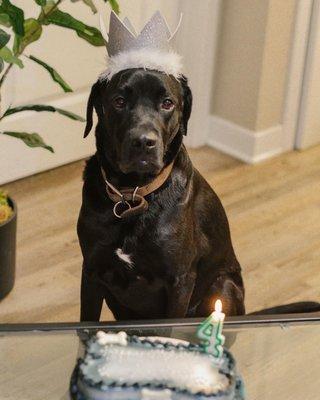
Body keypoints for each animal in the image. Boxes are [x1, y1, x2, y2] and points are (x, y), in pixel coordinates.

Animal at [78, 67, 245, 320]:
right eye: (119, 101)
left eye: (167, 103)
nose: (143, 142)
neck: (134, 195)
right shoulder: (91, 272)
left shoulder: (179, 282)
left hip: (224, 287)